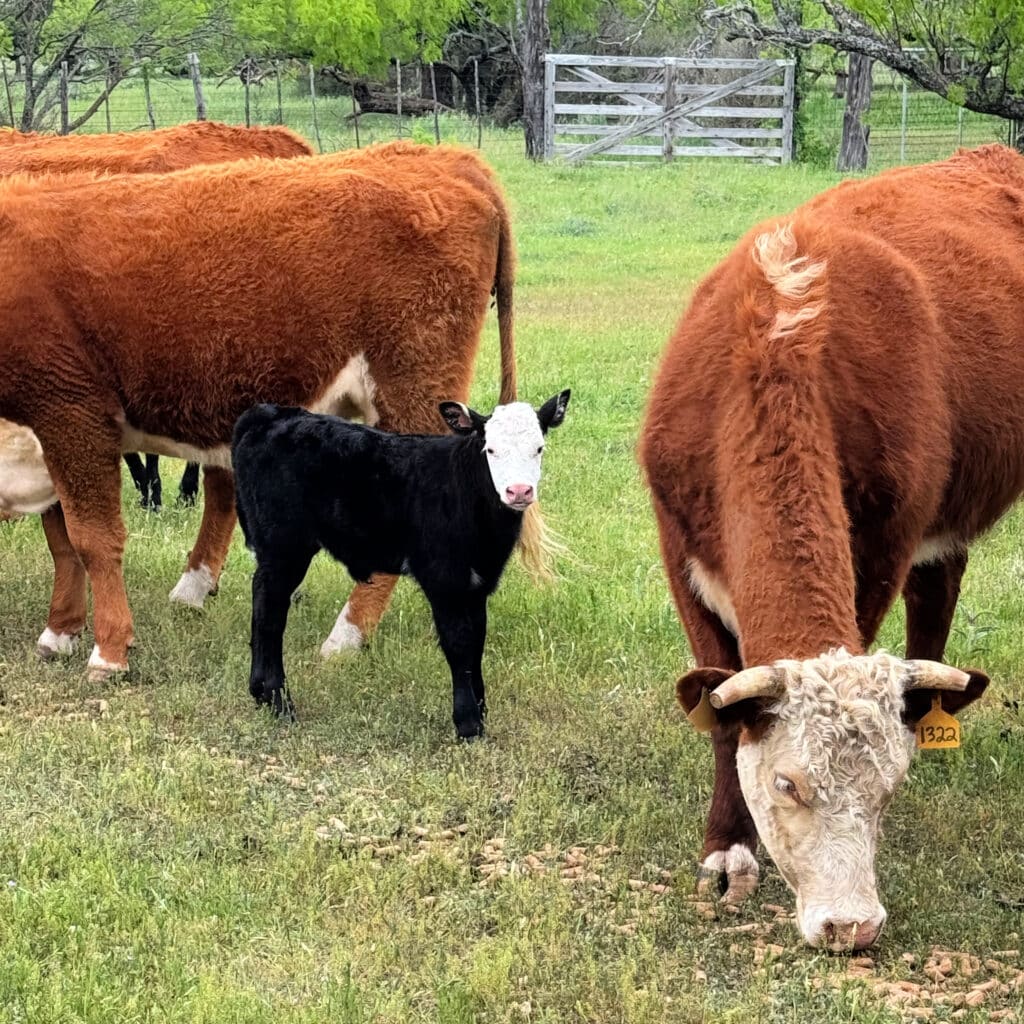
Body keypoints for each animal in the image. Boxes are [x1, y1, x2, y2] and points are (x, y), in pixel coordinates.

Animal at [0, 138, 552, 679]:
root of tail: (451, 158)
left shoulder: (72, 411)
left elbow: (93, 539)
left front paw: (109, 651)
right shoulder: (43, 429)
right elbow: (61, 540)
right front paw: (59, 632)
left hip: (413, 394)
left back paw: (344, 638)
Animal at [230, 389, 569, 737]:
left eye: (539, 448)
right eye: (490, 449)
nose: (519, 491)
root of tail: (270, 413)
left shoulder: (477, 584)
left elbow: (477, 643)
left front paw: (482, 712)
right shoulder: (443, 579)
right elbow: (459, 644)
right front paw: (468, 724)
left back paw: (262, 694)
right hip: (285, 546)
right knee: (270, 613)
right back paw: (278, 701)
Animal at [634, 140, 1024, 946]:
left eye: (889, 789)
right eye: (788, 783)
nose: (854, 924)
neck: (778, 340)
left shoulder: (883, 545)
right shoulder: (678, 551)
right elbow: (720, 715)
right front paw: (727, 849)